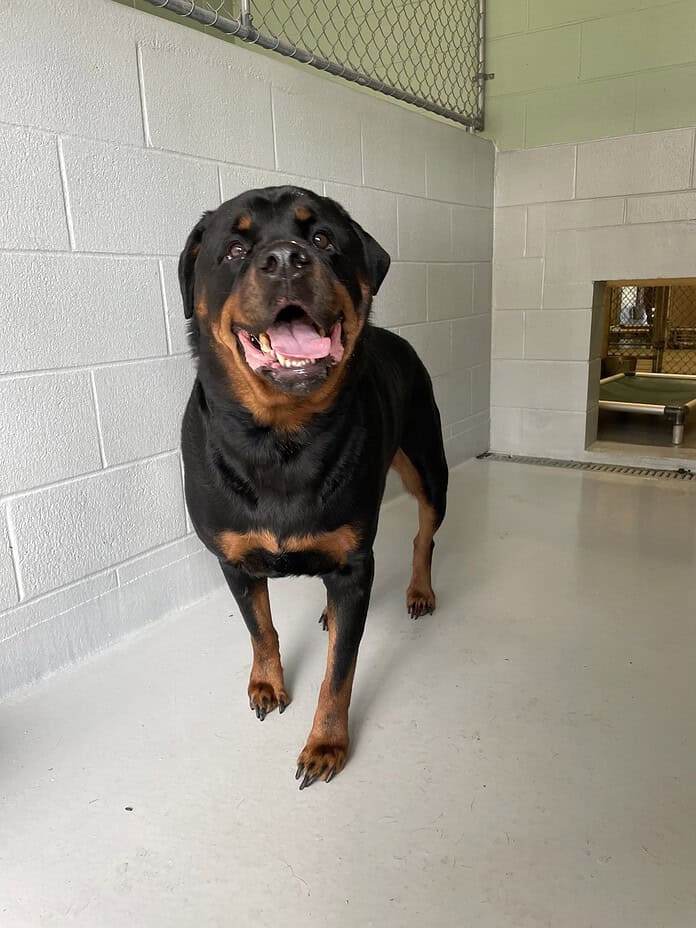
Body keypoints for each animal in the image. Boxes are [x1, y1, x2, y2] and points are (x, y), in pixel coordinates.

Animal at [179, 188, 448, 792]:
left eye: (323, 238)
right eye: (234, 249)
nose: (285, 259)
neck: (281, 437)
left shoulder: (353, 563)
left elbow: (339, 672)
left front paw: (326, 745)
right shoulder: (234, 559)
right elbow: (261, 628)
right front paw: (266, 684)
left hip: (428, 465)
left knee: (424, 532)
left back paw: (419, 589)